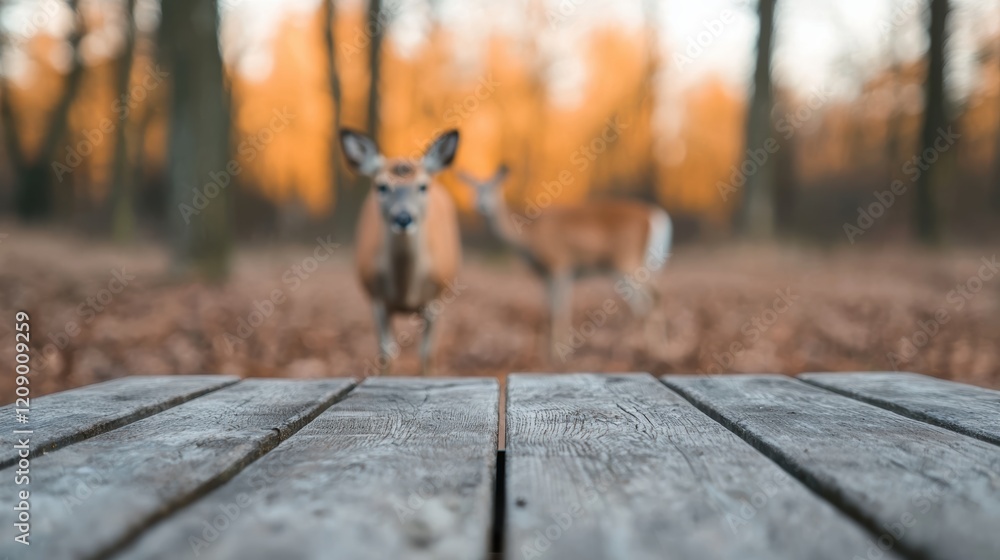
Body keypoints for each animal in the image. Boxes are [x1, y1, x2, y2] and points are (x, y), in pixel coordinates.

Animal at [340, 128, 462, 376]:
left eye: (422, 186)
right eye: (382, 186)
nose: (403, 218)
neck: (406, 292)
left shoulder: (437, 298)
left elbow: (427, 353)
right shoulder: (376, 297)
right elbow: (386, 354)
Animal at [460, 166, 672, 361]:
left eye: (495, 187)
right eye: (474, 189)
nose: (482, 205)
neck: (529, 237)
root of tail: (657, 217)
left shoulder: (559, 264)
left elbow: (559, 310)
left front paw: (558, 354)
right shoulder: (547, 275)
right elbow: (551, 309)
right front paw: (552, 351)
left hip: (626, 261)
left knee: (647, 300)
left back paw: (636, 351)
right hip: (640, 264)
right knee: (649, 299)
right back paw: (652, 348)